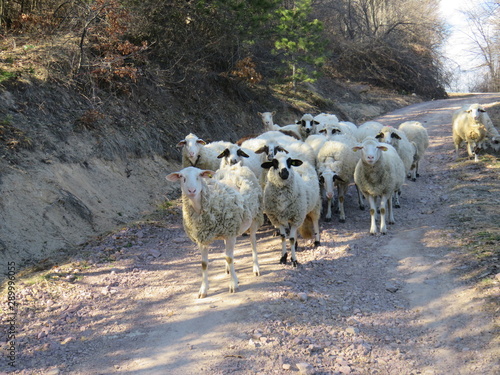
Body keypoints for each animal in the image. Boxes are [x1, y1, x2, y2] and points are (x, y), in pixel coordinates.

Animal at [166, 164, 264, 300]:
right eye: (182, 177)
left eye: (199, 176)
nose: (192, 190)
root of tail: (235, 166)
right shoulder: (202, 238)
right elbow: (204, 264)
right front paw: (203, 289)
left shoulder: (230, 234)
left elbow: (229, 258)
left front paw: (233, 284)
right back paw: (228, 269)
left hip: (254, 218)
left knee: (253, 243)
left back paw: (256, 268)